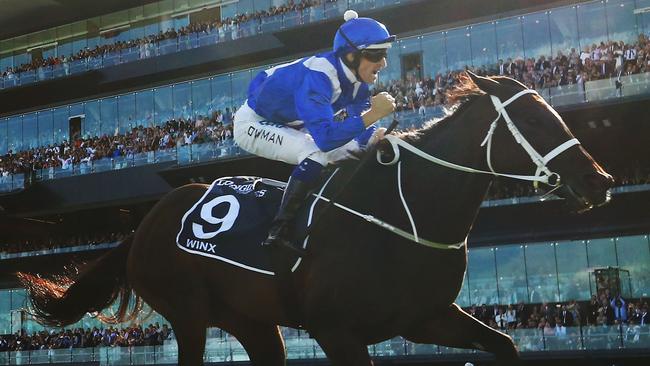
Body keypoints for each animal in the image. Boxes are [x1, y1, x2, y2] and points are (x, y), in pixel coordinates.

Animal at [17, 72, 612, 366]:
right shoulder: (336, 329)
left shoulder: (424, 317)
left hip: (252, 322)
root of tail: (142, 225)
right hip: (187, 311)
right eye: (534, 120)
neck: (403, 213)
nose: (600, 180)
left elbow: (504, 344)